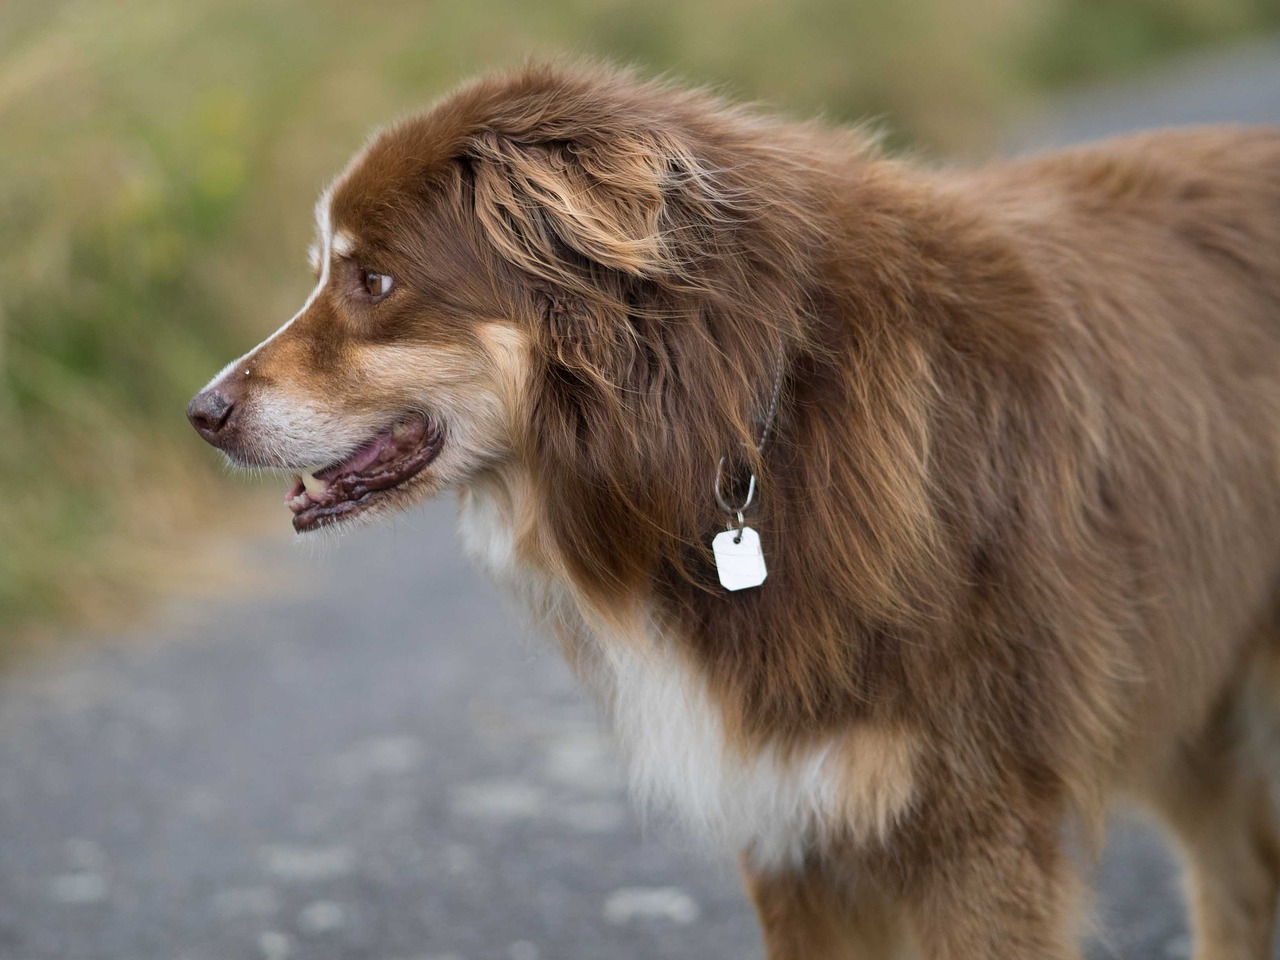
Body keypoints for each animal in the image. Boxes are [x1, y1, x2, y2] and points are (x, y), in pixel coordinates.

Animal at [185, 64, 1280, 957]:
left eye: (374, 280)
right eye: (325, 273)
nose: (201, 413)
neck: (744, 432)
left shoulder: (977, 825)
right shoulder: (789, 822)